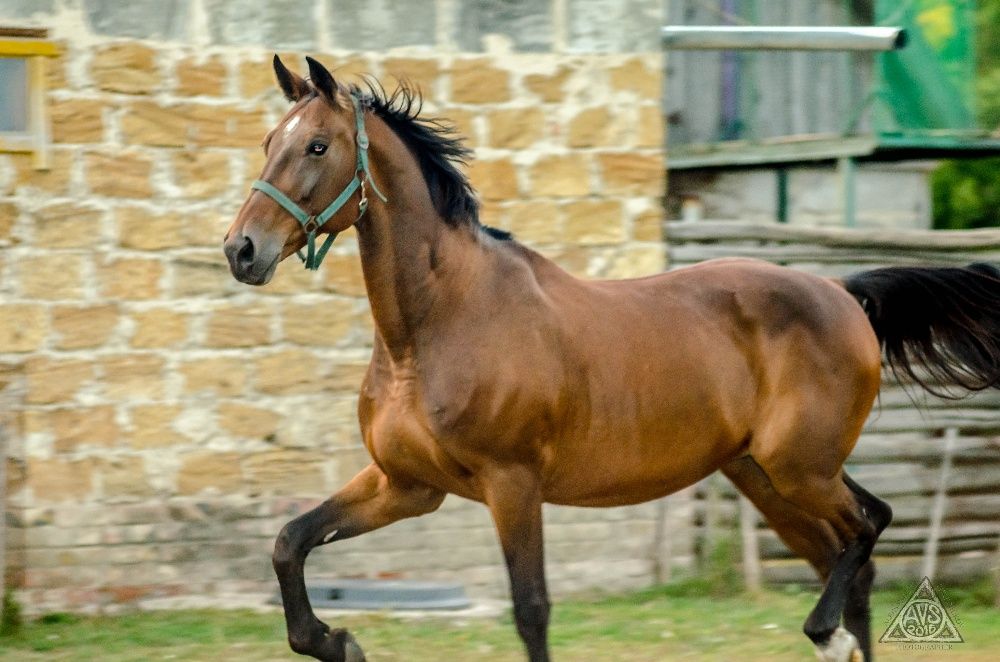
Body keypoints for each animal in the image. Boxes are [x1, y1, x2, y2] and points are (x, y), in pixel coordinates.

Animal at [227, 54, 1000, 660]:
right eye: (267, 141)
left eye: (317, 147)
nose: (241, 250)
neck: (433, 329)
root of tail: (842, 293)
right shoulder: (406, 485)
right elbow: (290, 541)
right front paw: (336, 641)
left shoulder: (512, 485)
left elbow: (532, 611)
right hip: (767, 477)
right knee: (851, 559)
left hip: (800, 467)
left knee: (871, 527)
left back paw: (823, 630)